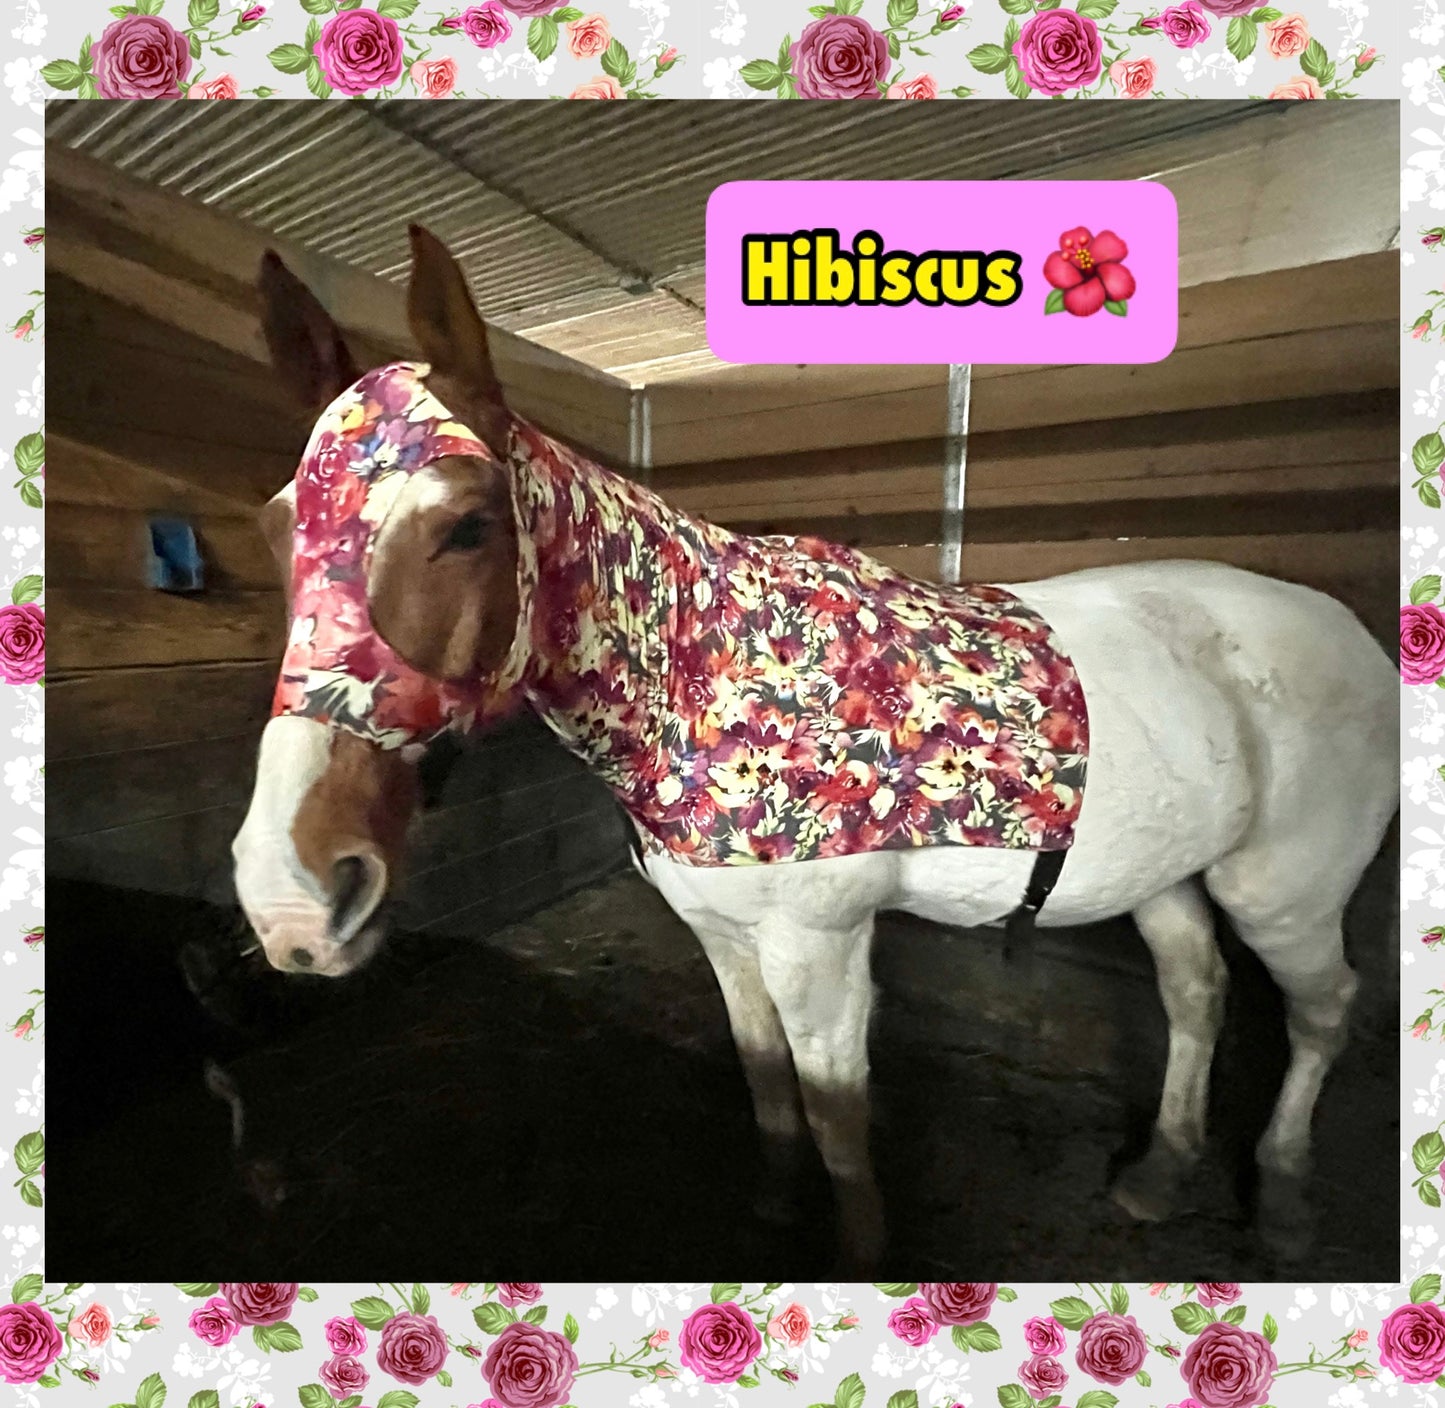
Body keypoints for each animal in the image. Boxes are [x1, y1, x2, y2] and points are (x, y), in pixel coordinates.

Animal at [232, 226, 1398, 1270]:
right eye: (279, 529)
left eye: (467, 525)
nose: (291, 896)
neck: (711, 677)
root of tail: (1352, 636)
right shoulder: (720, 936)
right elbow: (764, 1082)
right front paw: (774, 1205)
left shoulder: (818, 946)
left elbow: (837, 1114)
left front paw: (859, 1254)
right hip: (1162, 870)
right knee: (1195, 989)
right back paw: (1160, 1171)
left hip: (1281, 892)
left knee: (1320, 1010)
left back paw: (1282, 1197)